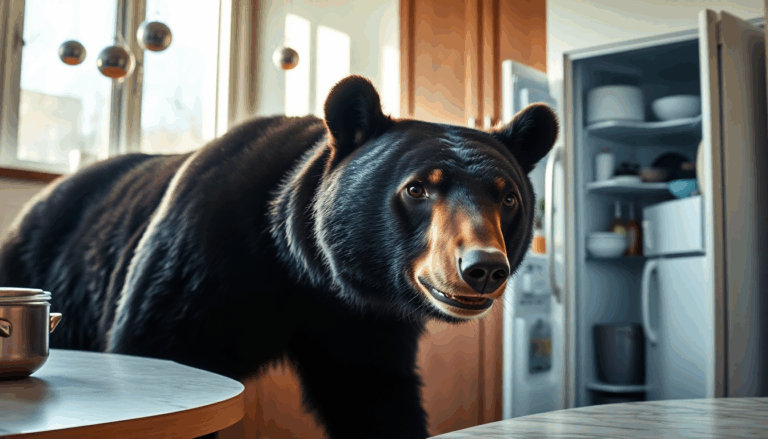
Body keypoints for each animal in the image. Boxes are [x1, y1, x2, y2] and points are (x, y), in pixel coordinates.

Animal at [0, 75, 558, 438]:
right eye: (418, 188)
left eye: (507, 197)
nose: (482, 267)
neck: (303, 272)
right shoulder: (201, 266)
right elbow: (153, 336)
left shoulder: (363, 325)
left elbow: (377, 395)